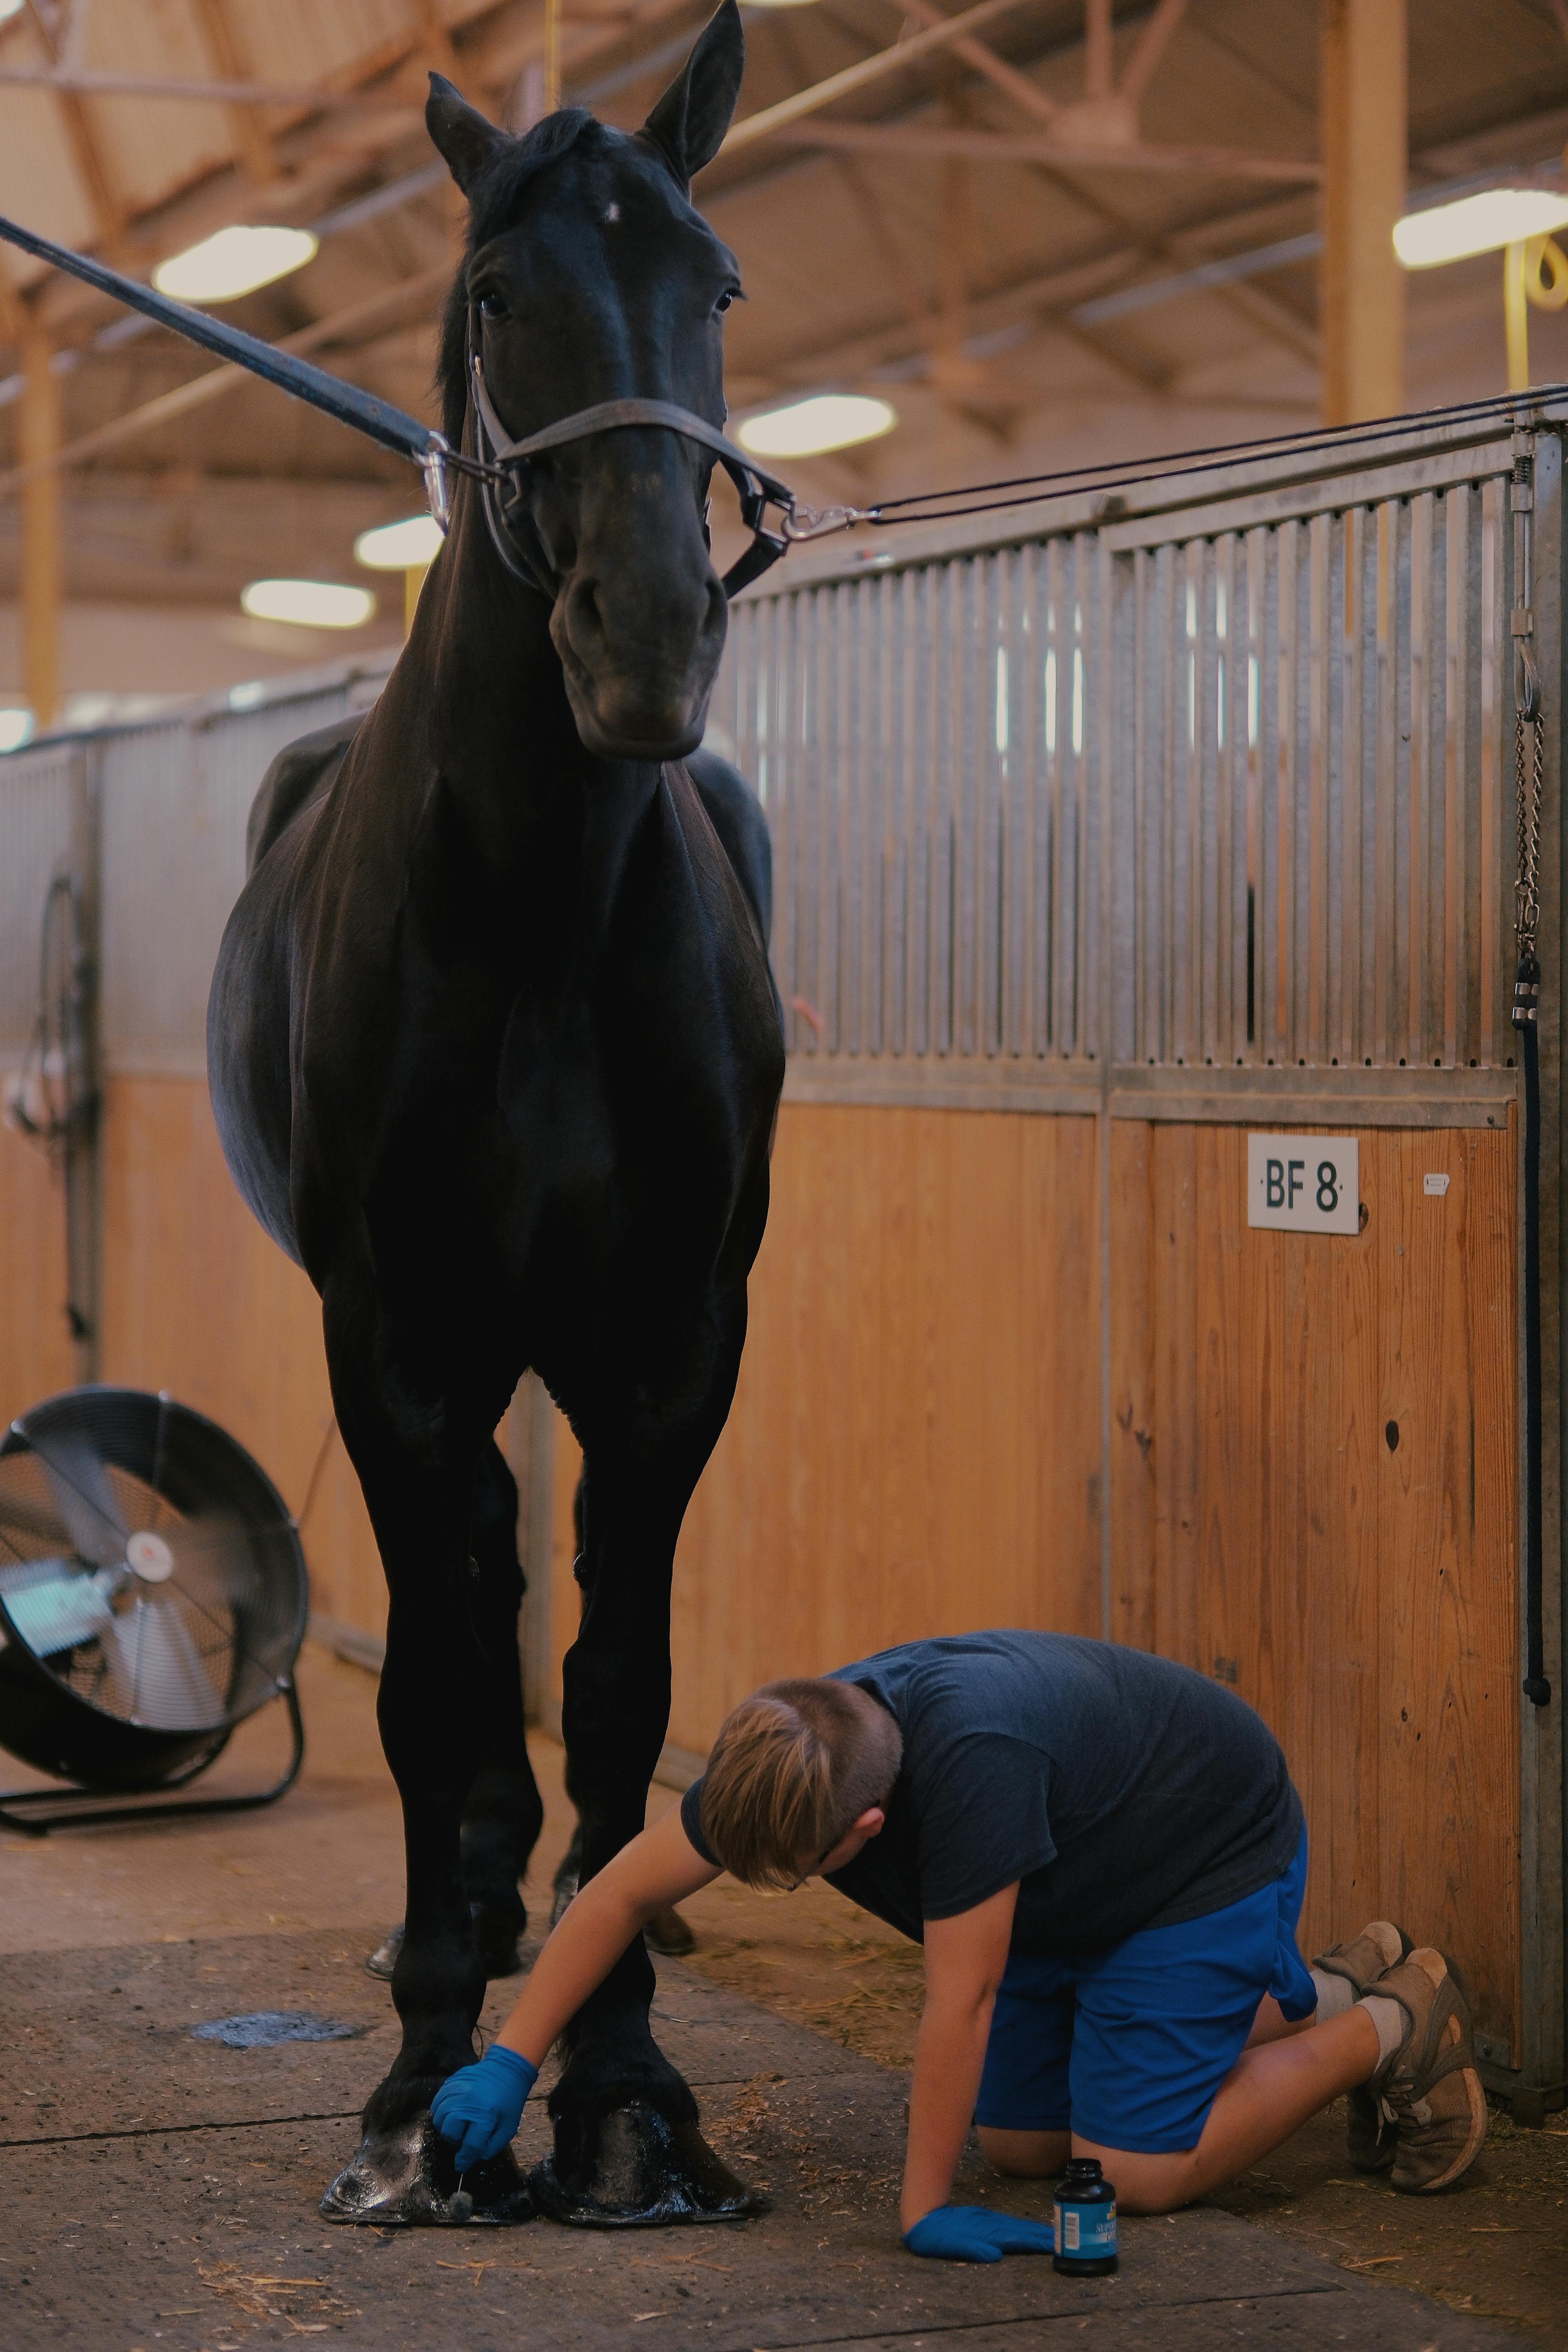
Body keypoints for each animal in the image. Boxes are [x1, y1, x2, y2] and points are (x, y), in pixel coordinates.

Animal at [205, 5, 785, 2220]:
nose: (648, 639)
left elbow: (613, 1692)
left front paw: (621, 2092)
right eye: (490, 294)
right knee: (459, 1627)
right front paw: (418, 2090)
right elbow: (449, 1684)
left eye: (717, 283)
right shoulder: (394, 1341)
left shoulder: (669, 1345)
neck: (537, 902)